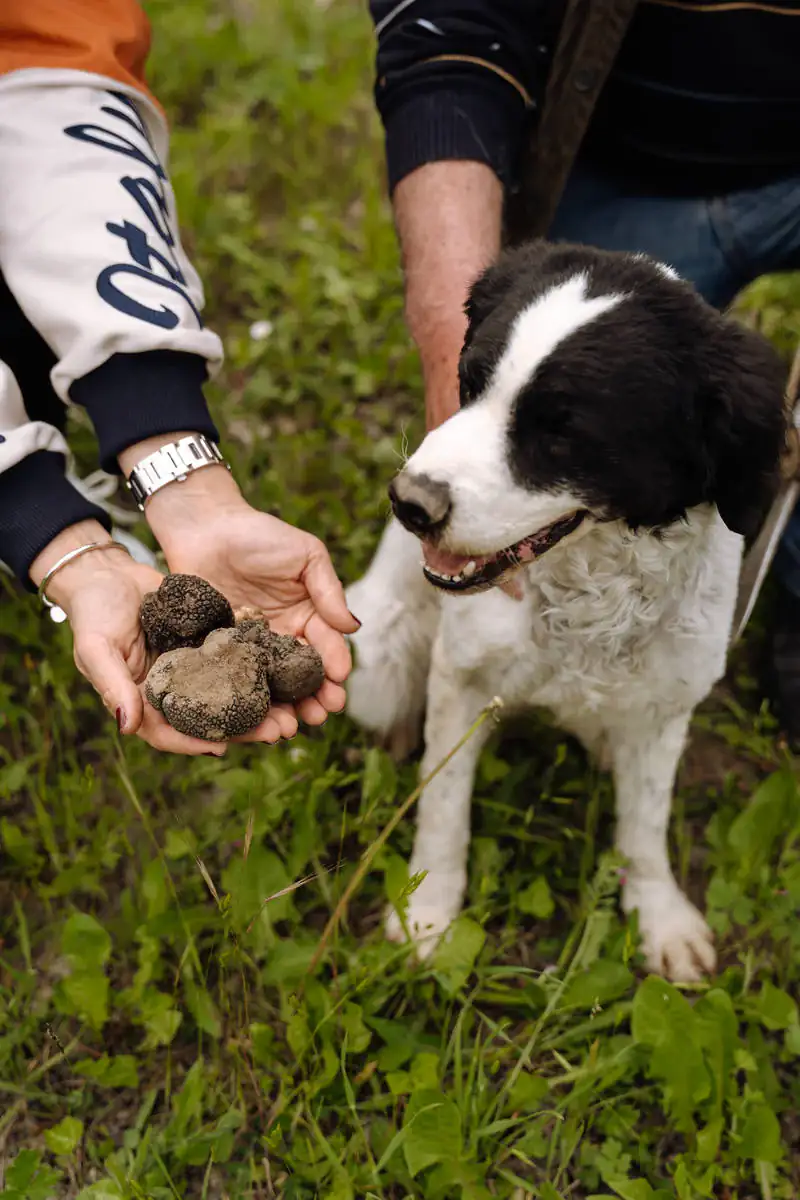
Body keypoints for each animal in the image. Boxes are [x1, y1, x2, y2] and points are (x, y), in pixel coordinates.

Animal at [350, 238, 786, 979]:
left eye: (562, 431)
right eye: (469, 381)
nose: (410, 503)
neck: (588, 598)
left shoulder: (669, 704)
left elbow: (646, 824)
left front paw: (660, 917)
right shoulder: (461, 676)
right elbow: (443, 804)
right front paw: (427, 913)